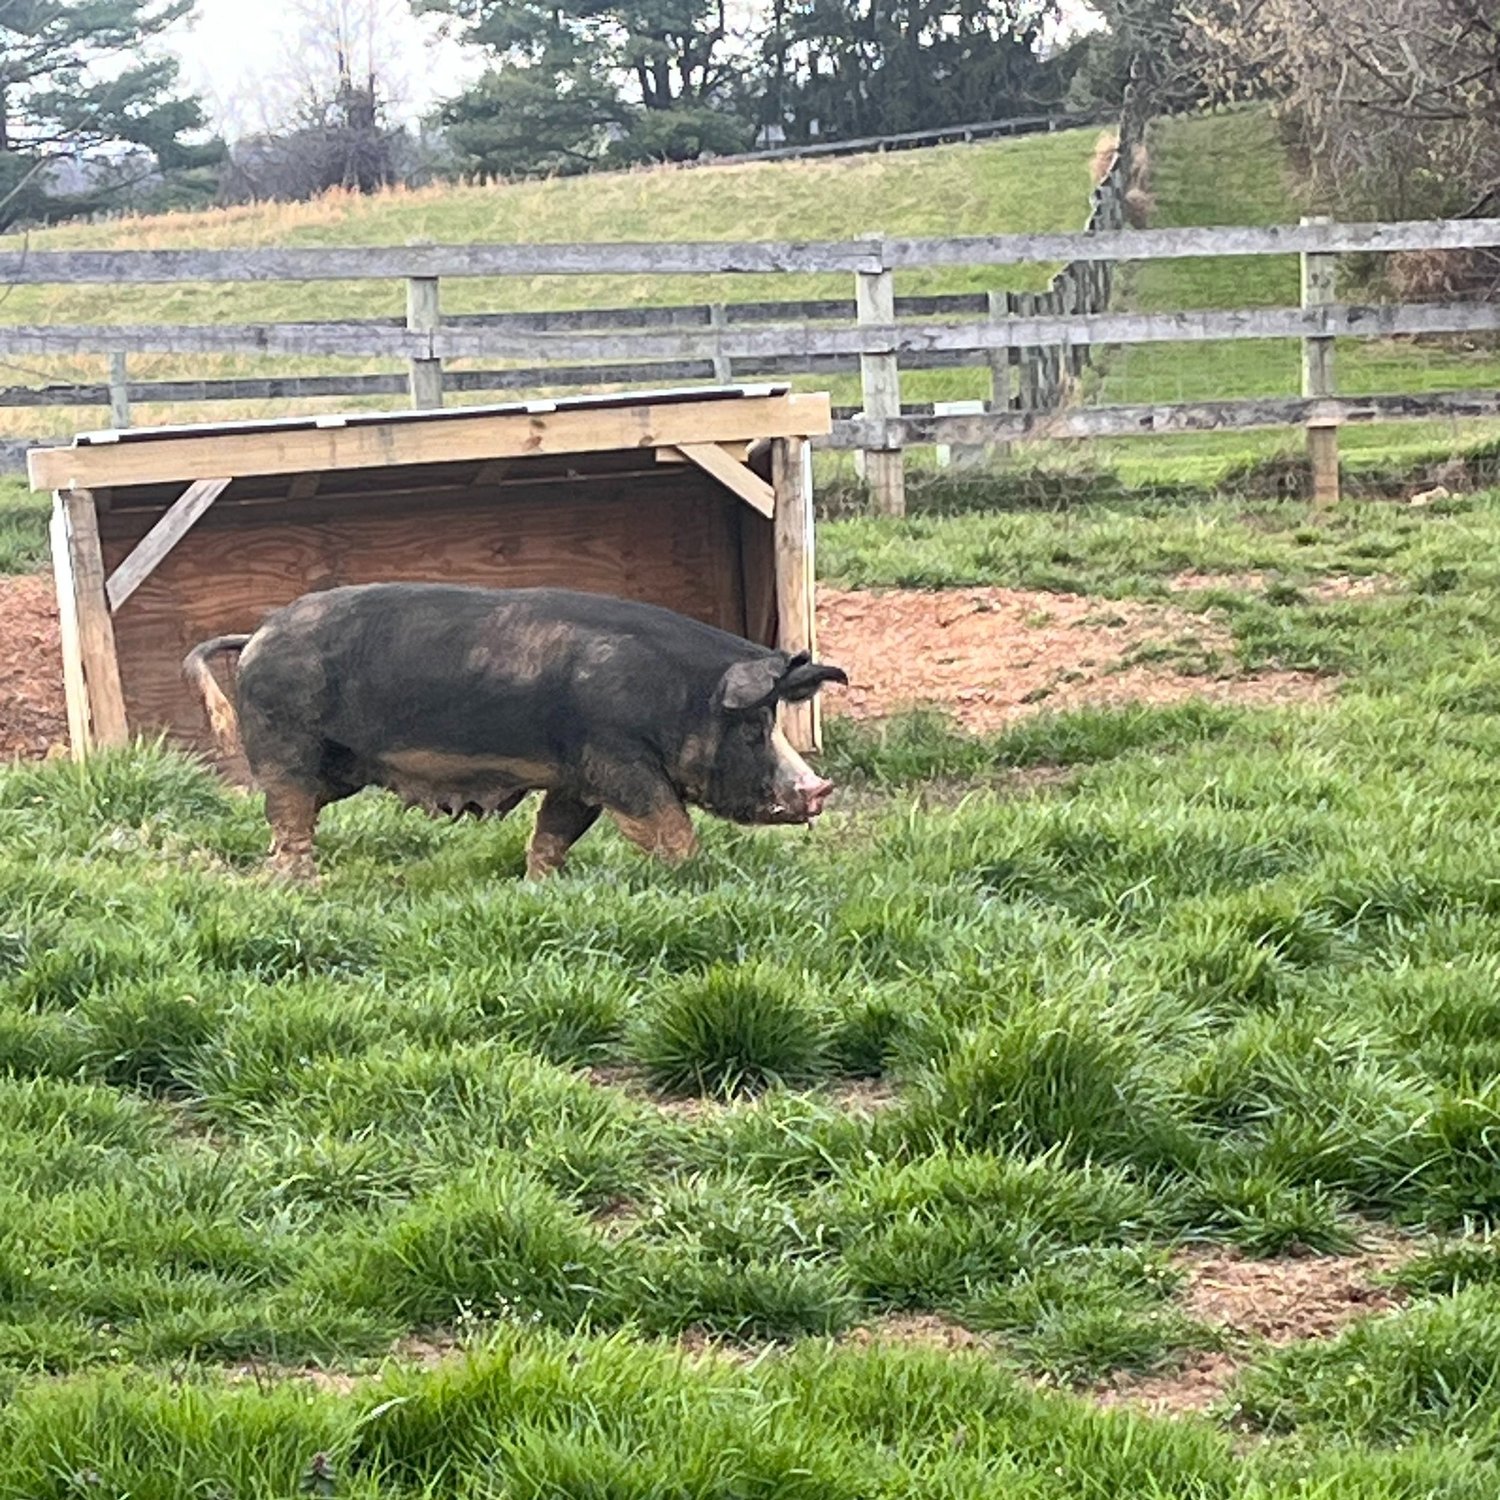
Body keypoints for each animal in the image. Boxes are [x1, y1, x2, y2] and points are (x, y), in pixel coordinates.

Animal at [183, 582, 848, 880]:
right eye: (753, 726)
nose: (819, 789)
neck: (677, 694)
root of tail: (256, 636)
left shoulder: (577, 777)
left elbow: (553, 832)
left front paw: (539, 885)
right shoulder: (619, 759)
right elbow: (669, 826)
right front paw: (687, 875)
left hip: (340, 765)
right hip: (286, 743)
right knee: (288, 812)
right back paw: (302, 885)